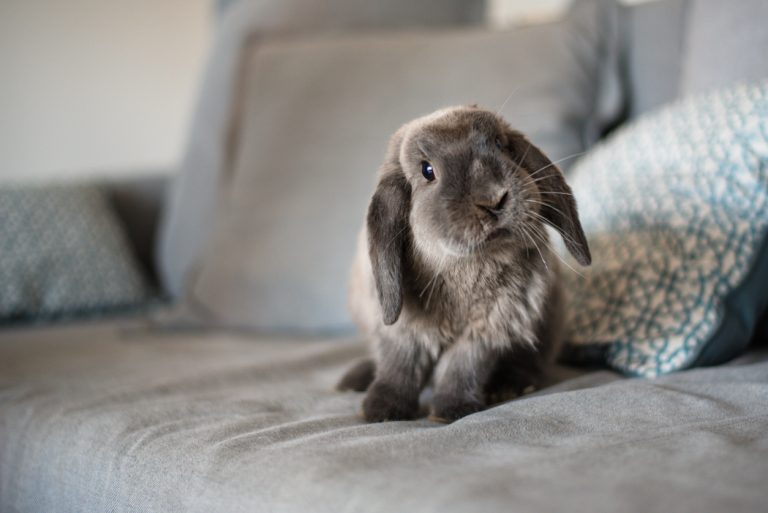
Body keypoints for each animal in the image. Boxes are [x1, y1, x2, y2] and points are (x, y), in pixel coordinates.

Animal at [338, 106, 592, 422]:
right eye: (427, 170)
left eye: (500, 145)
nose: (493, 199)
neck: (466, 266)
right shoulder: (403, 331)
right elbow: (400, 366)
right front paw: (380, 411)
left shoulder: (486, 331)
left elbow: (462, 367)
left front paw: (452, 410)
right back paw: (354, 381)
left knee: (531, 362)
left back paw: (509, 386)